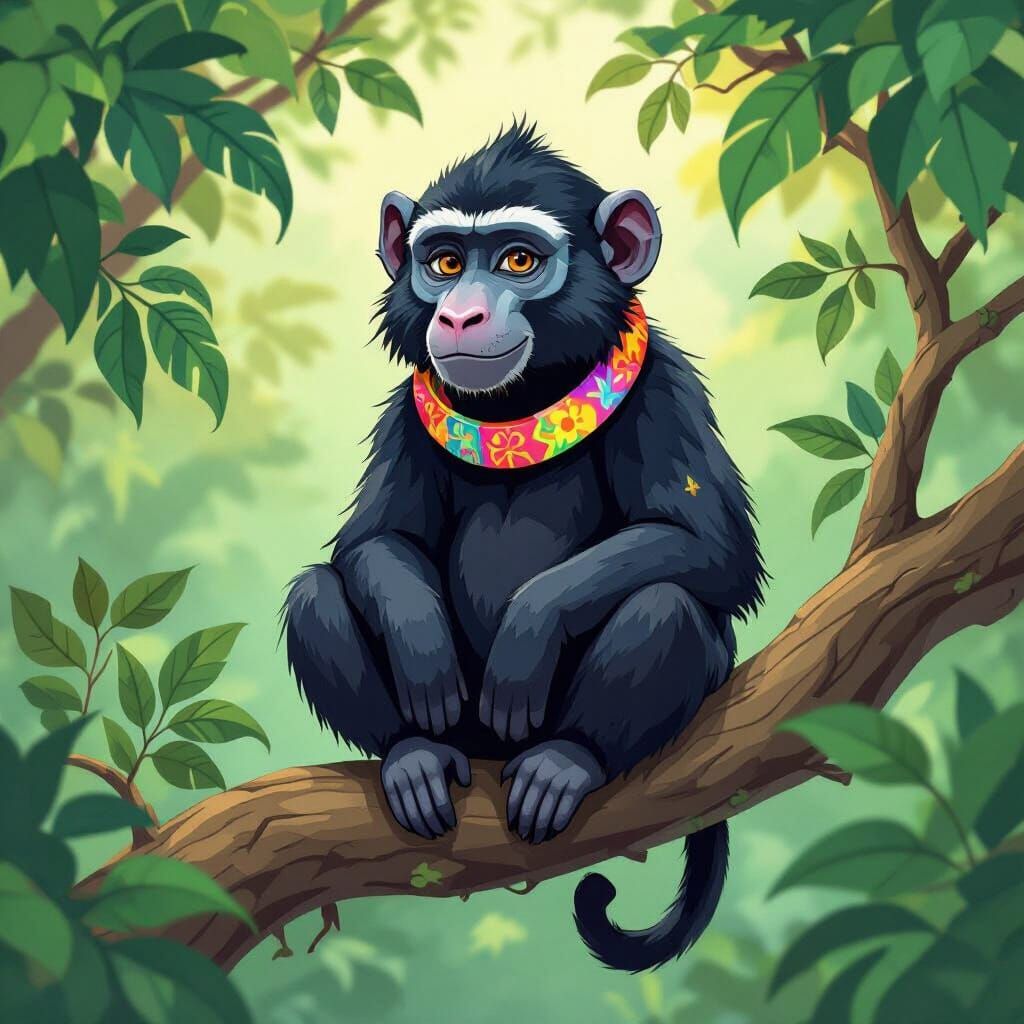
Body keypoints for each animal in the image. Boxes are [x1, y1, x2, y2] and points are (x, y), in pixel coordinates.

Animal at [283, 122, 765, 972]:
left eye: (517, 260)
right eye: (445, 262)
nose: (462, 315)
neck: (525, 403)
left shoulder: (669, 388)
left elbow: (710, 547)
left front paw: (528, 631)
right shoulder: (403, 415)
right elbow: (375, 541)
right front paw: (421, 640)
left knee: (665, 606)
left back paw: (565, 761)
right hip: (463, 741)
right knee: (315, 595)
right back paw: (412, 754)